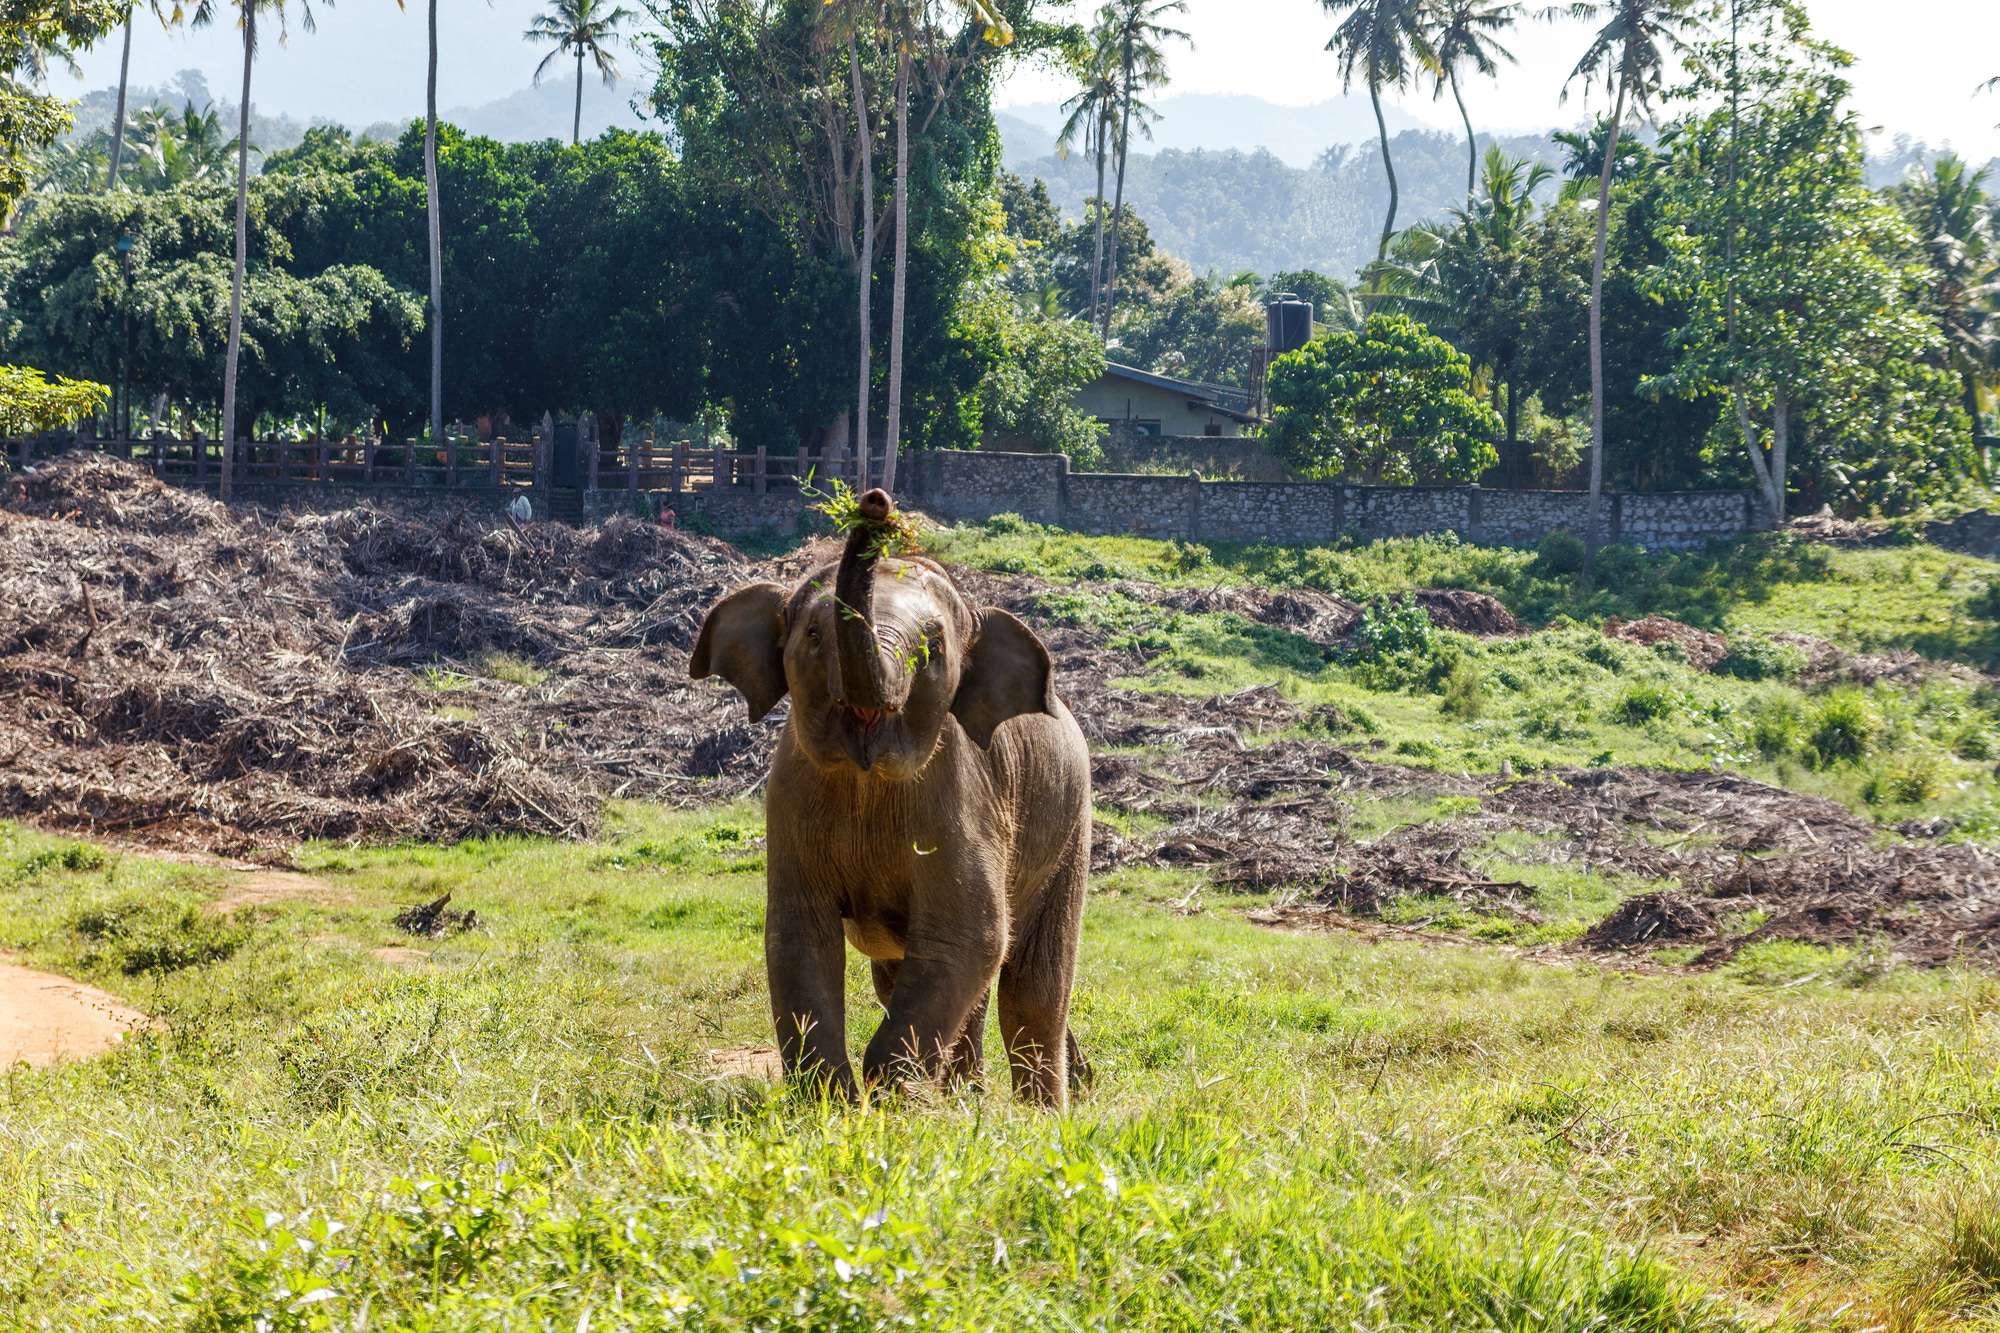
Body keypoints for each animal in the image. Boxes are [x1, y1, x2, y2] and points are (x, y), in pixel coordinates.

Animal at [690, 488, 1091, 1108]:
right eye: (814, 636)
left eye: (932, 650)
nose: (876, 504)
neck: (865, 775)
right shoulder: (790, 803)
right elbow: (798, 937)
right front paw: (832, 1103)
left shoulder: (964, 797)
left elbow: (970, 937)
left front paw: (891, 1098)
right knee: (917, 979)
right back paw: (965, 1096)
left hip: (1069, 832)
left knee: (1031, 987)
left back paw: (1039, 1114)